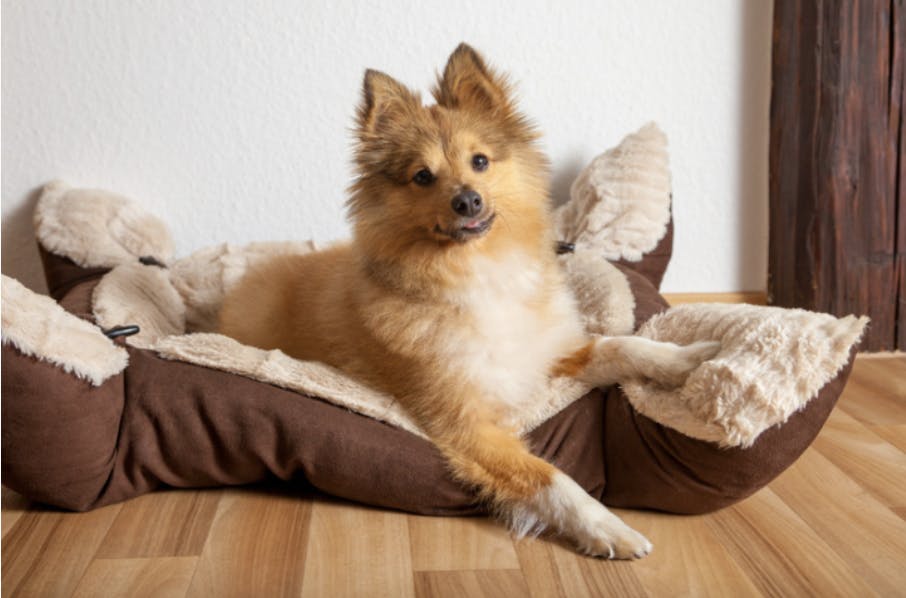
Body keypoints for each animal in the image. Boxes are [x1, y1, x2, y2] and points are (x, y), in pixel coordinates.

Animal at [215, 44, 716, 560]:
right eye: (422, 176)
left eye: (479, 161)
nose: (468, 201)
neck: (477, 270)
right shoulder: (468, 426)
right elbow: (549, 478)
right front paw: (607, 527)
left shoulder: (545, 356)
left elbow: (618, 345)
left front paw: (688, 358)